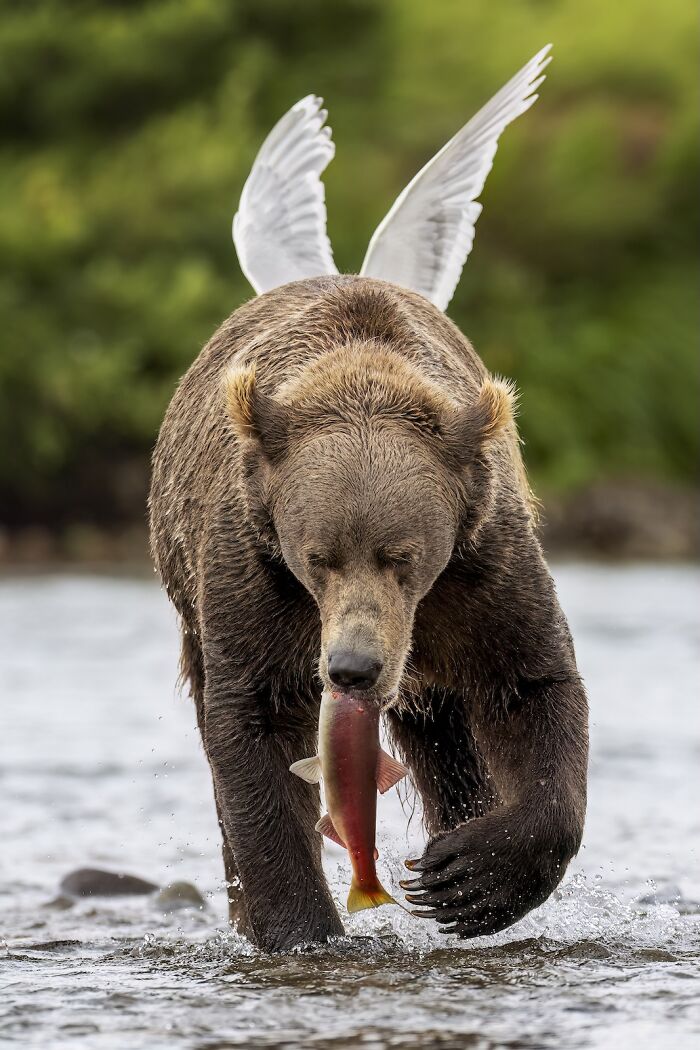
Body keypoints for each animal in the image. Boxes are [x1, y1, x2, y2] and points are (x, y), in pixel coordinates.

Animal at [149, 275, 588, 951]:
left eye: (400, 555)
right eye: (318, 556)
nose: (352, 667)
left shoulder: (482, 565)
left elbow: (528, 682)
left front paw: (471, 878)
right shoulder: (256, 576)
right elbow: (256, 725)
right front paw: (302, 928)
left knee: (451, 742)